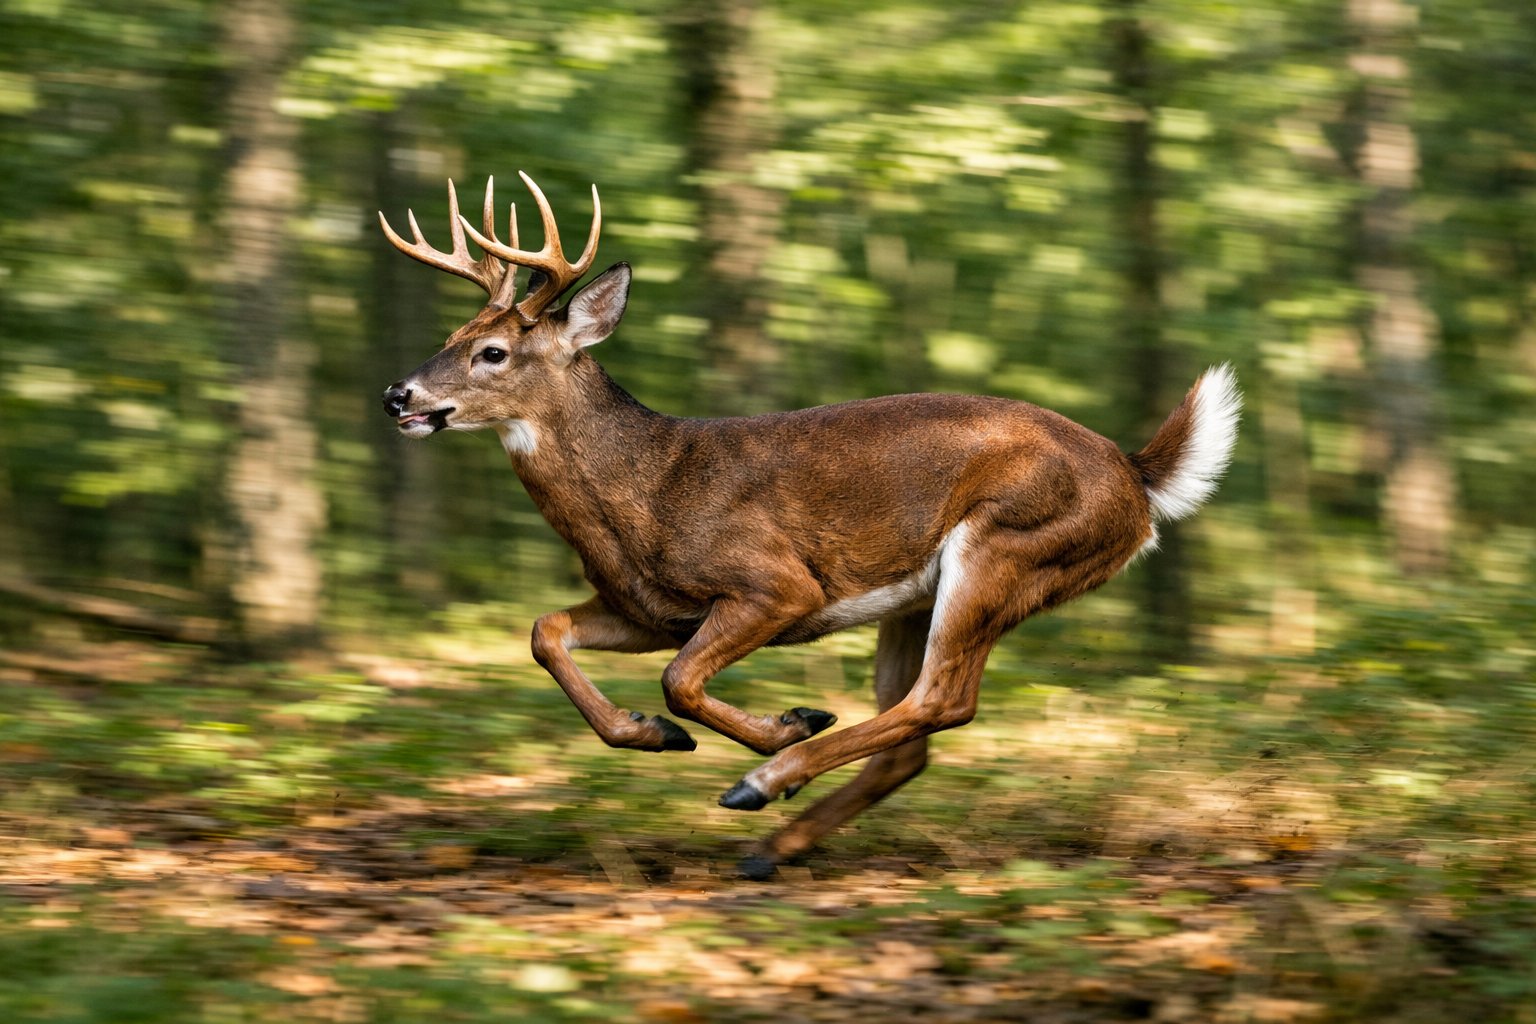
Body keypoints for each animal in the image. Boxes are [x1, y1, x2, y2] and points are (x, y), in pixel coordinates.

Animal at [378, 173, 1241, 879]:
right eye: (449, 340)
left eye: (492, 352)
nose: (397, 394)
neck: (647, 490)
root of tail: (1135, 476)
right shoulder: (646, 608)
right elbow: (545, 631)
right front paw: (654, 734)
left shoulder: (777, 584)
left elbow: (681, 680)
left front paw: (782, 726)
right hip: (917, 598)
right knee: (913, 734)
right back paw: (771, 847)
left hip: (1008, 548)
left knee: (942, 699)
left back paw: (762, 785)